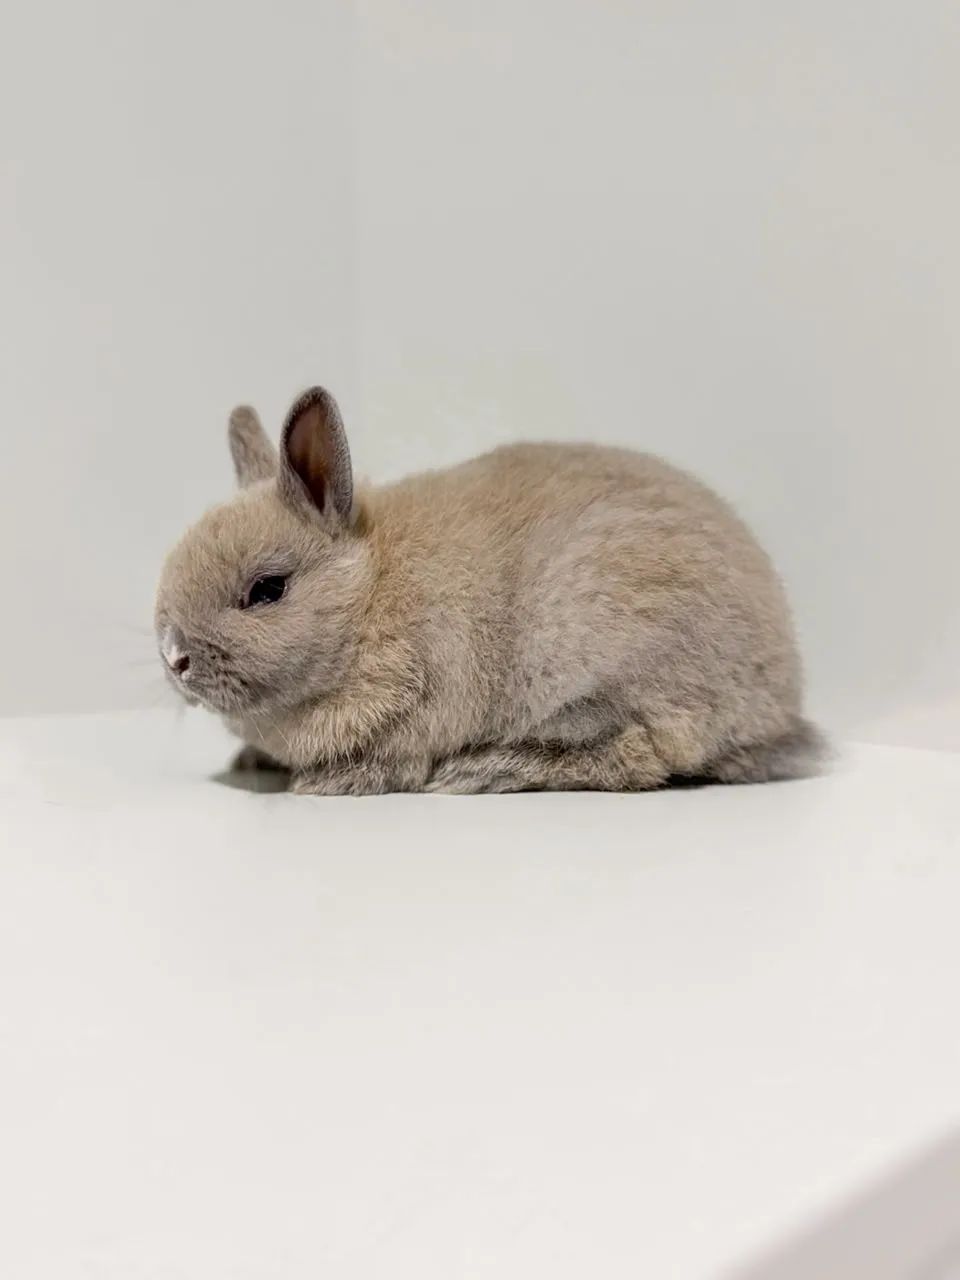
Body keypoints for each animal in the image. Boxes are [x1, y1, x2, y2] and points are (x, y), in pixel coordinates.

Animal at [154, 386, 825, 794]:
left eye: (267, 589)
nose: (174, 657)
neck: (371, 598)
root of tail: (779, 703)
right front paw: (249, 763)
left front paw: (323, 784)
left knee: (638, 754)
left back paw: (487, 768)